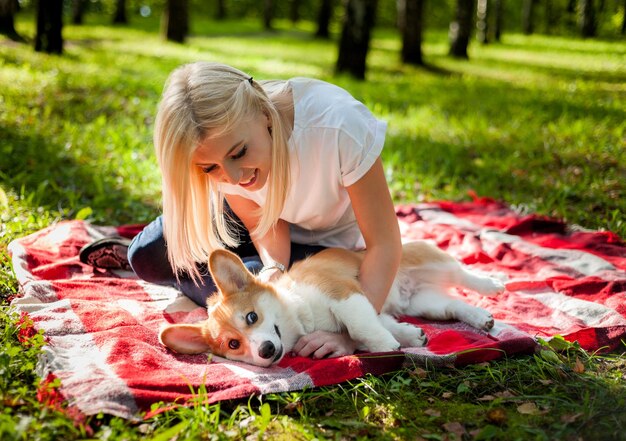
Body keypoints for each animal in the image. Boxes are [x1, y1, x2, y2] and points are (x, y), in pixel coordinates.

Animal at [158, 241, 504, 368]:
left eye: (252, 317)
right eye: (233, 344)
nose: (266, 351)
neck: (301, 317)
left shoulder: (344, 294)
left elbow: (362, 327)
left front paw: (386, 348)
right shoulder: (373, 308)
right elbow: (381, 324)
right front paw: (409, 336)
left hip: (429, 259)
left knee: (462, 272)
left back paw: (494, 282)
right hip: (423, 303)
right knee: (453, 305)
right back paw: (481, 318)